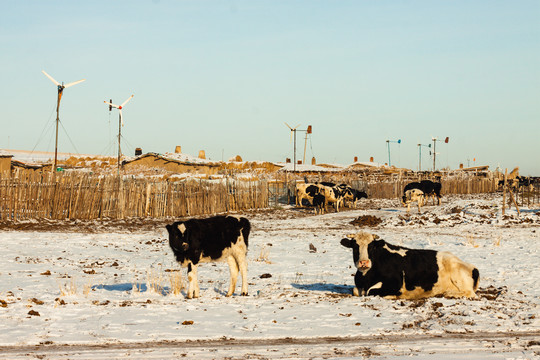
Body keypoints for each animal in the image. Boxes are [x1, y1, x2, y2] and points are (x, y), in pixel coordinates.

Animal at [340, 232, 478, 300]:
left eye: (372, 247)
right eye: (355, 246)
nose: (364, 262)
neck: (366, 277)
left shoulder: (395, 284)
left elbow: (371, 291)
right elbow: (355, 291)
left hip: (457, 276)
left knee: (470, 293)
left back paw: (448, 293)